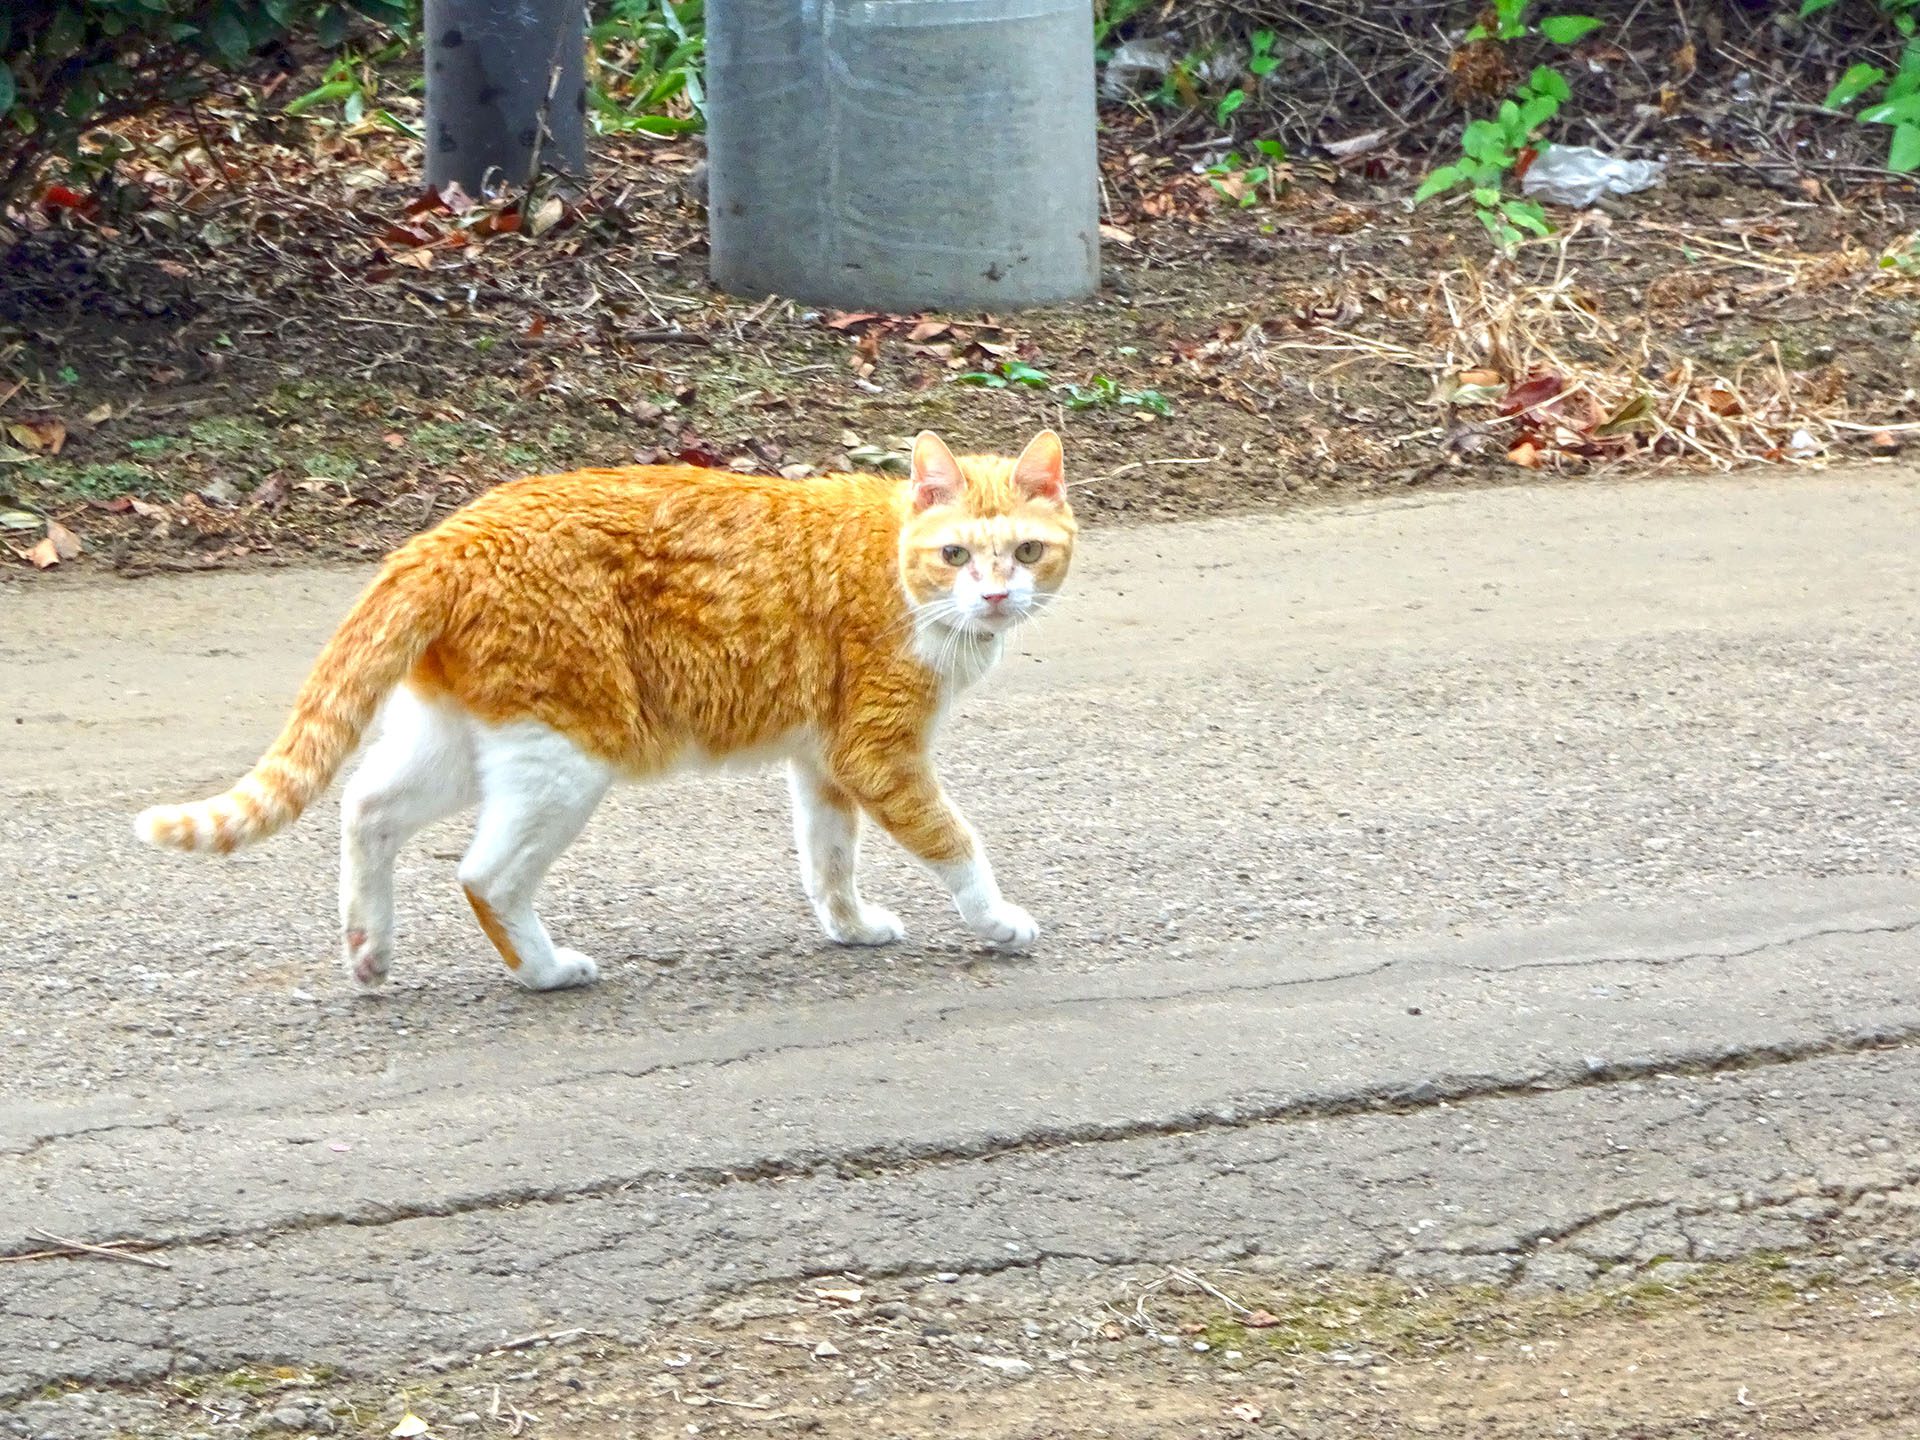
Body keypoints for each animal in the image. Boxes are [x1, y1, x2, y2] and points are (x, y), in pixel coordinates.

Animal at [131, 428, 1082, 990]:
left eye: (1028, 552)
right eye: (957, 555)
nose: (997, 595)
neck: (895, 564)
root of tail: (452, 534)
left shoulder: (823, 761)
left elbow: (829, 859)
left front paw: (848, 928)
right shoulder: (877, 753)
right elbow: (956, 842)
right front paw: (998, 921)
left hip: (470, 741)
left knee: (367, 809)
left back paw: (370, 947)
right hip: (566, 756)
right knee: (484, 876)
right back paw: (546, 970)